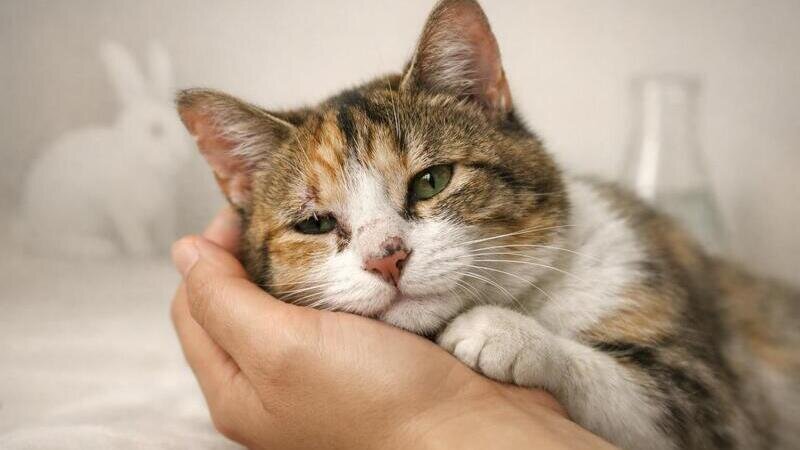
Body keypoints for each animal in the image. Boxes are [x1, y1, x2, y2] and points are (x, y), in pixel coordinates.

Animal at [19, 40, 190, 258]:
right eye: (156, 130)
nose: (183, 156)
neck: (142, 161)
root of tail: (32, 221)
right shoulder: (122, 209)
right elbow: (133, 231)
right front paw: (143, 251)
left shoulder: (164, 211)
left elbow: (164, 230)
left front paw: (167, 244)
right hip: (80, 216)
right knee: (55, 242)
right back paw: (101, 248)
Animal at [175, 0, 800, 448]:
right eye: (315, 223)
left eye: (432, 180)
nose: (387, 256)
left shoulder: (715, 398)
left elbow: (638, 394)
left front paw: (504, 333)